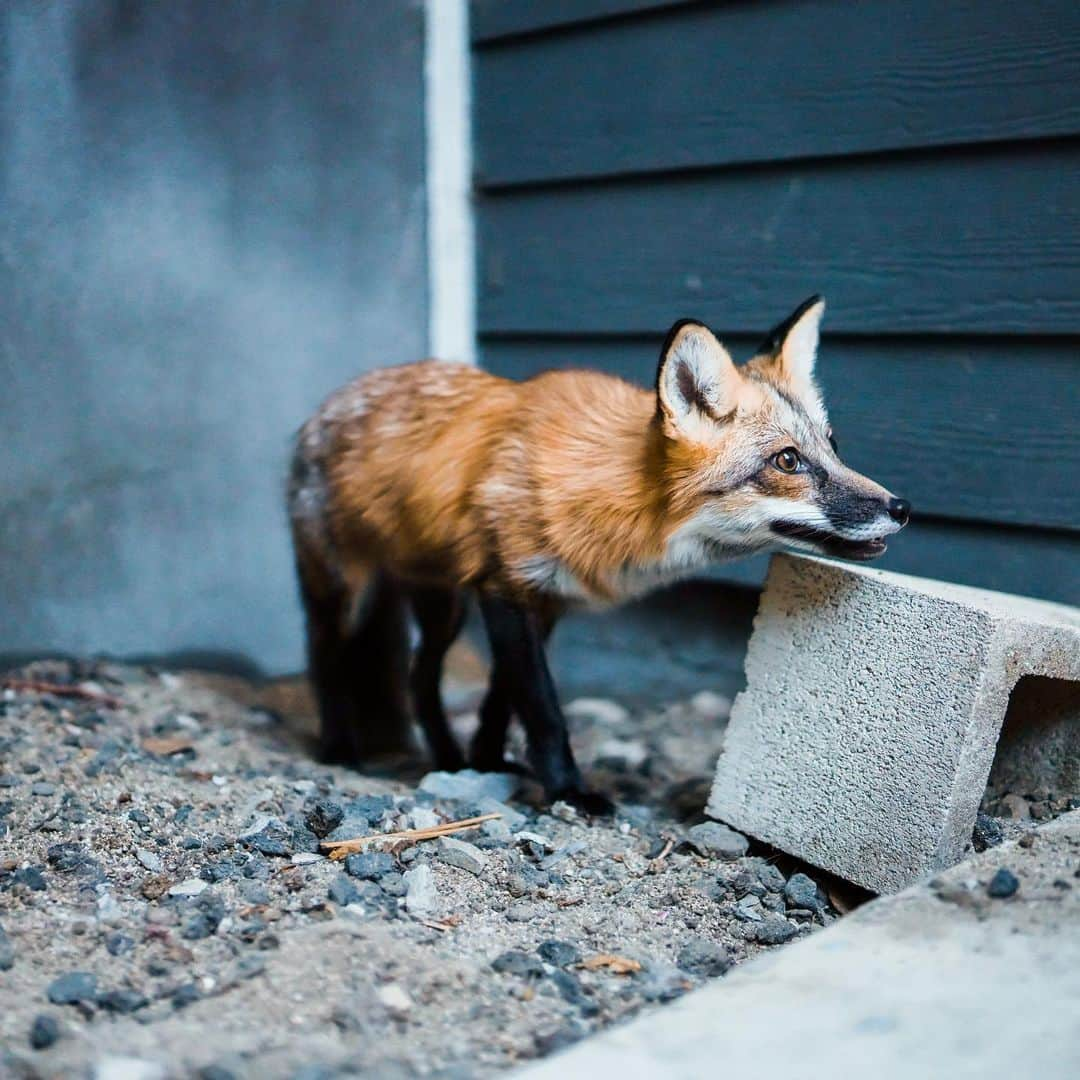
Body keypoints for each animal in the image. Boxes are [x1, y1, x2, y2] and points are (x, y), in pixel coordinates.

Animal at [285, 295, 902, 812]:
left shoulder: (545, 601)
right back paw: (339, 748)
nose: (903, 507)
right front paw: (568, 791)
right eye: (788, 462)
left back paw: (449, 759)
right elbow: (543, 708)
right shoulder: (505, 588)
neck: (613, 493)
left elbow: (502, 699)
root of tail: (330, 402)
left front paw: (489, 762)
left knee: (419, 676)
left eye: (833, 446)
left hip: (443, 608)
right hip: (346, 594)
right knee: (325, 659)